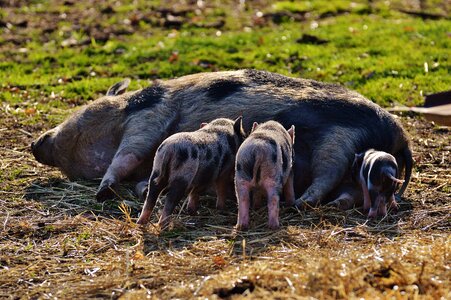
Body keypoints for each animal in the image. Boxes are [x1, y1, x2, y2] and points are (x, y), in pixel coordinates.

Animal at [30, 69, 414, 207]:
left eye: (79, 110)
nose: (35, 143)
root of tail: (399, 134)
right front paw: (137, 190)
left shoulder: (148, 117)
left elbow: (127, 154)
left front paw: (103, 191)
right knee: (351, 190)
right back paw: (331, 204)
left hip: (338, 141)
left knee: (329, 173)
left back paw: (302, 202)